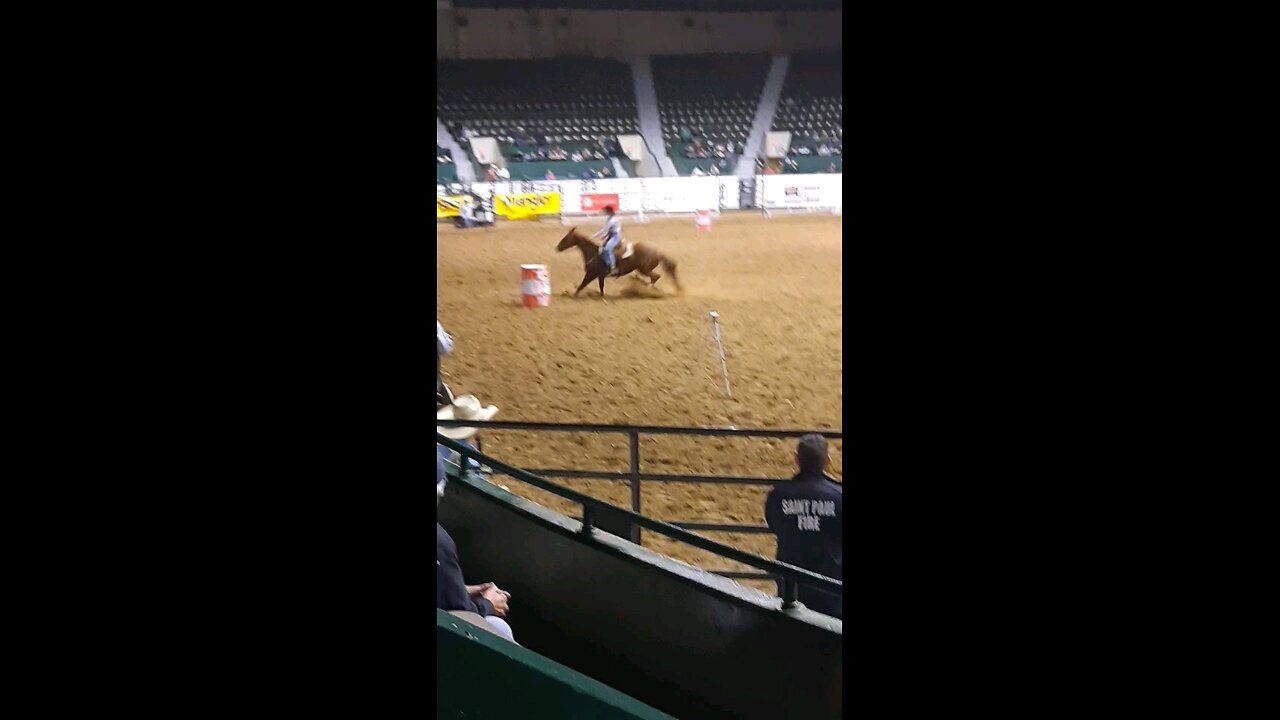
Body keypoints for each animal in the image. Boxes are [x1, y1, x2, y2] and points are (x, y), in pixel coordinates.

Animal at [558, 228, 686, 298]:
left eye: (565, 238)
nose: (557, 247)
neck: (593, 252)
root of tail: (659, 251)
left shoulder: (591, 274)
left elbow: (582, 285)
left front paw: (573, 295)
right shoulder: (600, 276)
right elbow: (601, 287)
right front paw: (601, 296)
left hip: (644, 269)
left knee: (655, 277)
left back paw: (647, 288)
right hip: (644, 269)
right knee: (654, 277)